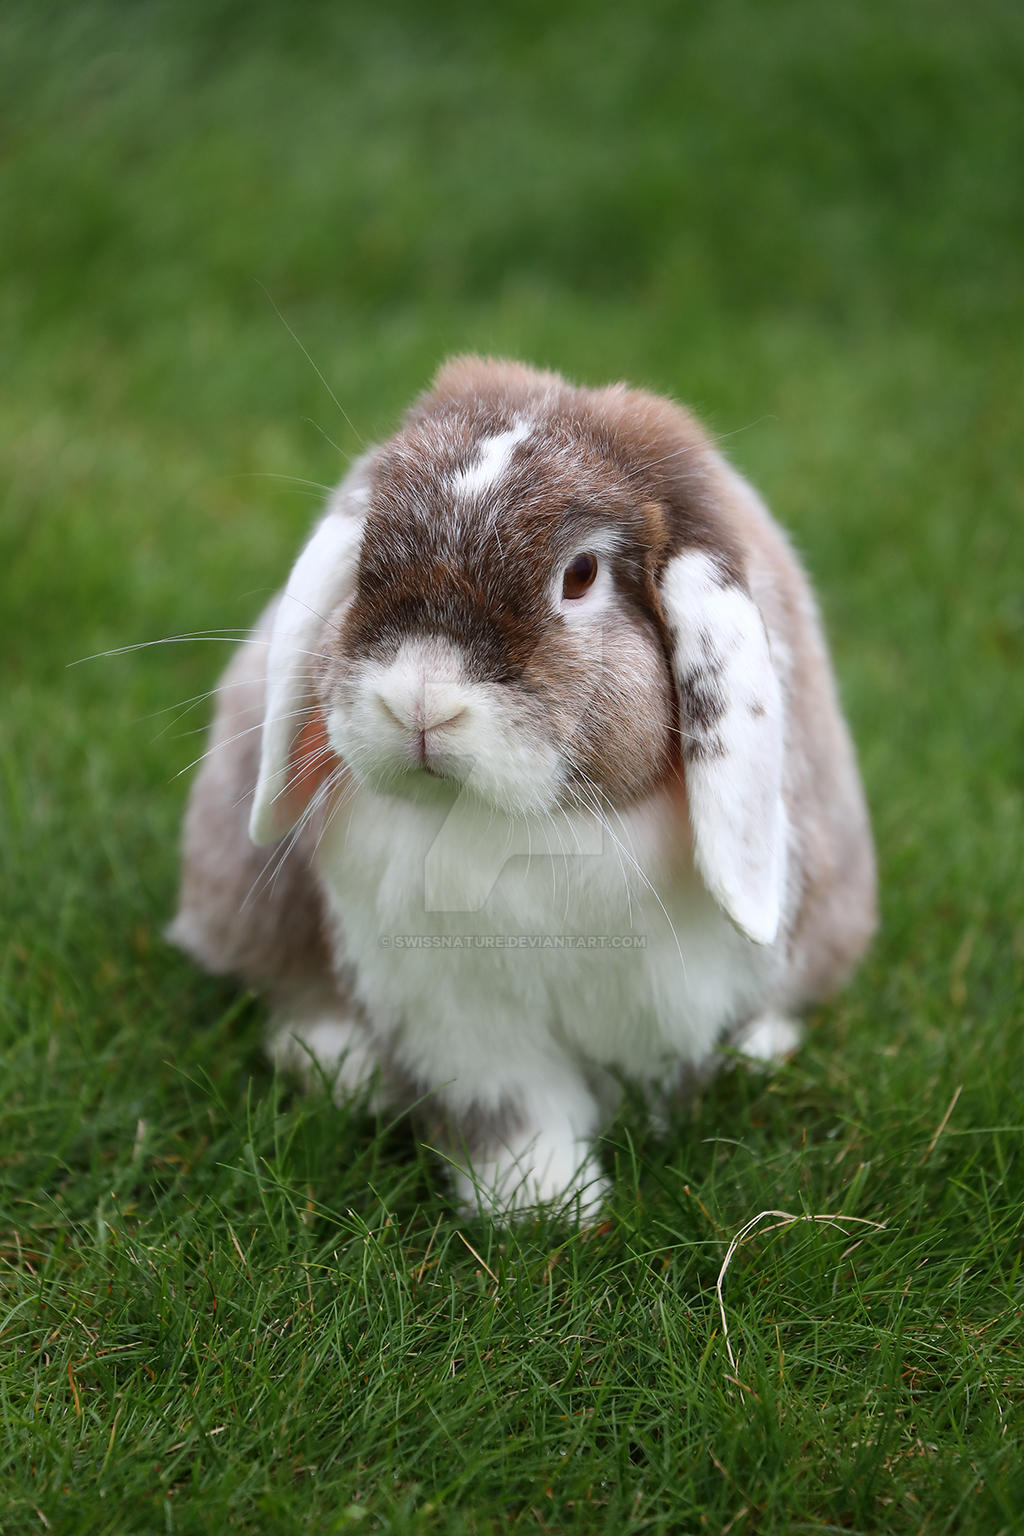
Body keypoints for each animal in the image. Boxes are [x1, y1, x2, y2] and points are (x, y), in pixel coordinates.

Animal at [169, 356, 876, 1221]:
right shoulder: (459, 1020)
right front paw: (543, 1207)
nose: (421, 702)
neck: (517, 830)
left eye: (580, 575)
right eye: (367, 554)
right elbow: (512, 1112)